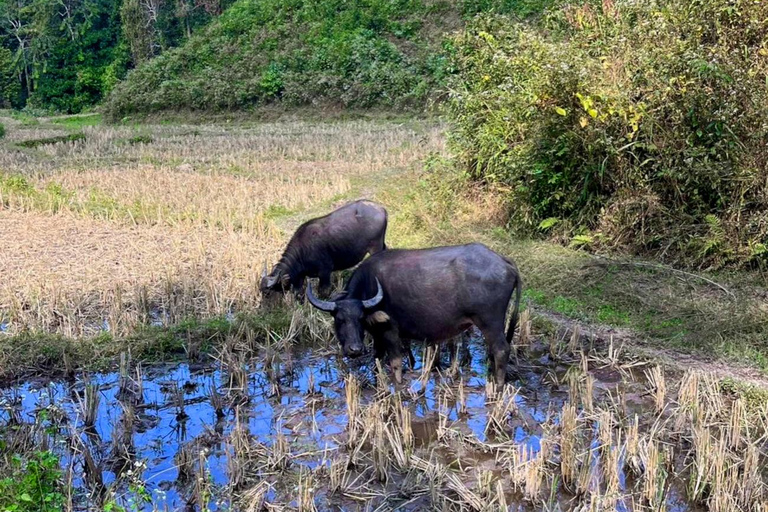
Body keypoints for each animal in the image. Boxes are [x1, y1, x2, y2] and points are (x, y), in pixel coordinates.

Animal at [306, 243, 520, 384]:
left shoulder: (391, 332)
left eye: (359, 318)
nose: (355, 350)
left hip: (490, 322)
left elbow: (395, 363)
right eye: (339, 319)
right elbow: (376, 359)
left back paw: (498, 387)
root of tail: (504, 262)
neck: (370, 285)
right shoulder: (377, 335)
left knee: (501, 350)